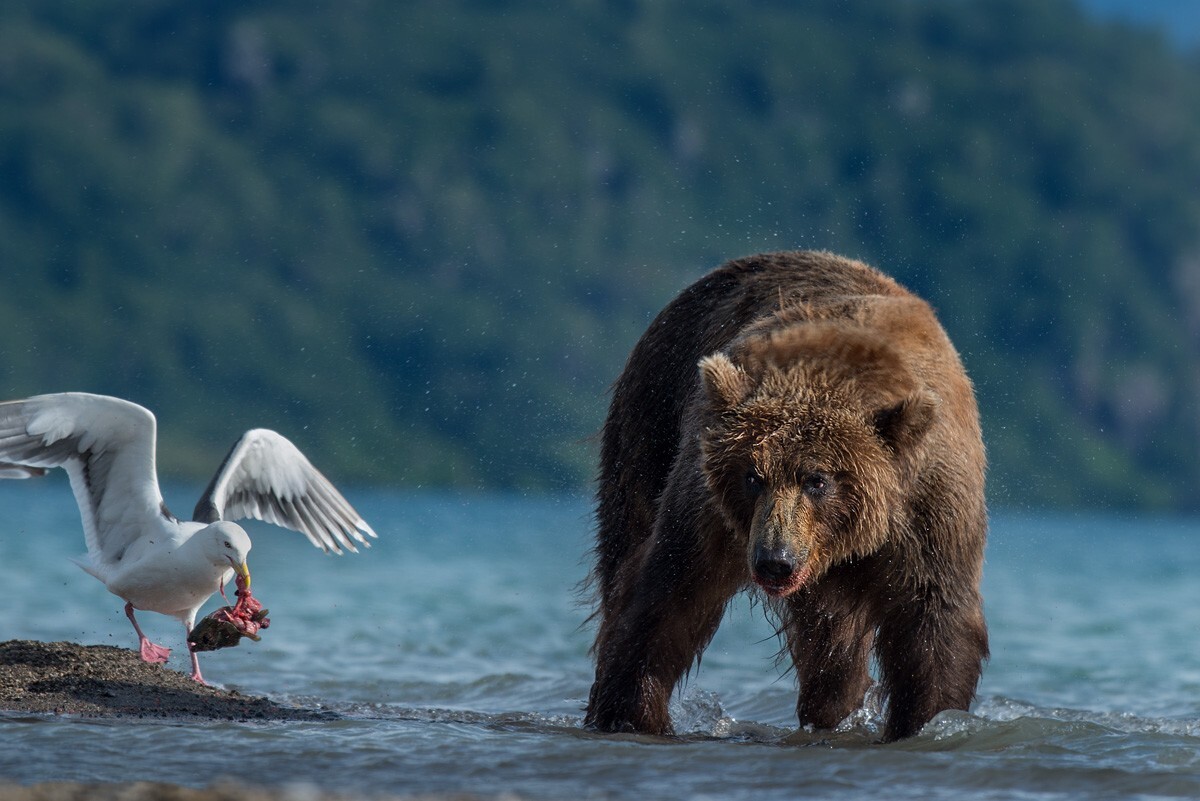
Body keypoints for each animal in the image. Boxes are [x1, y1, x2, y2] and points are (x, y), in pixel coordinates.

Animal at [585, 251, 988, 743]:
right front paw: (630, 713)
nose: (774, 561)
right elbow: (668, 597)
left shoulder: (929, 509)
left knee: (833, 645)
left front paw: (926, 720)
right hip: (650, 425)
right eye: (752, 477)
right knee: (625, 547)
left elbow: (934, 626)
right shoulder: (710, 509)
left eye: (818, 479)